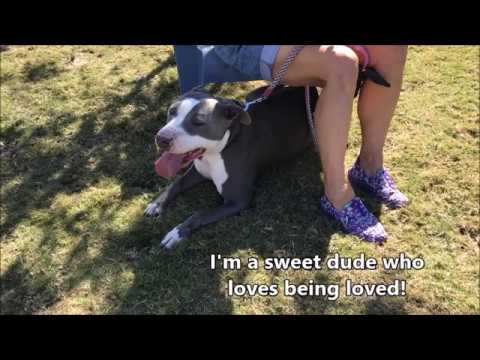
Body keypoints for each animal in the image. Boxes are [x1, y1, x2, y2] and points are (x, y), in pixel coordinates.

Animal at [144, 85, 320, 250]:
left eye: (198, 122)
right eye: (172, 111)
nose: (162, 139)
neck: (222, 147)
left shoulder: (238, 201)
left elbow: (199, 214)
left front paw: (178, 232)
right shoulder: (198, 171)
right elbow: (176, 183)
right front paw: (157, 203)